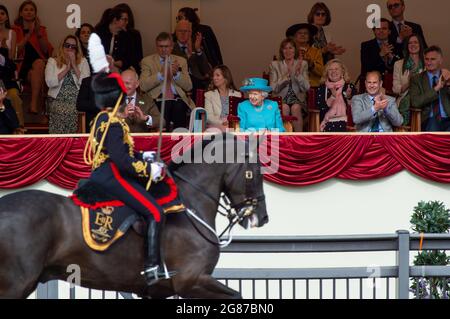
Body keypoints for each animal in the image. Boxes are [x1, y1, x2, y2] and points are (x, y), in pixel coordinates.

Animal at [0, 135, 268, 300]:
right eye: (254, 172)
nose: (262, 217)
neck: (190, 205)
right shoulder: (192, 281)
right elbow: (238, 296)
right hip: (16, 283)